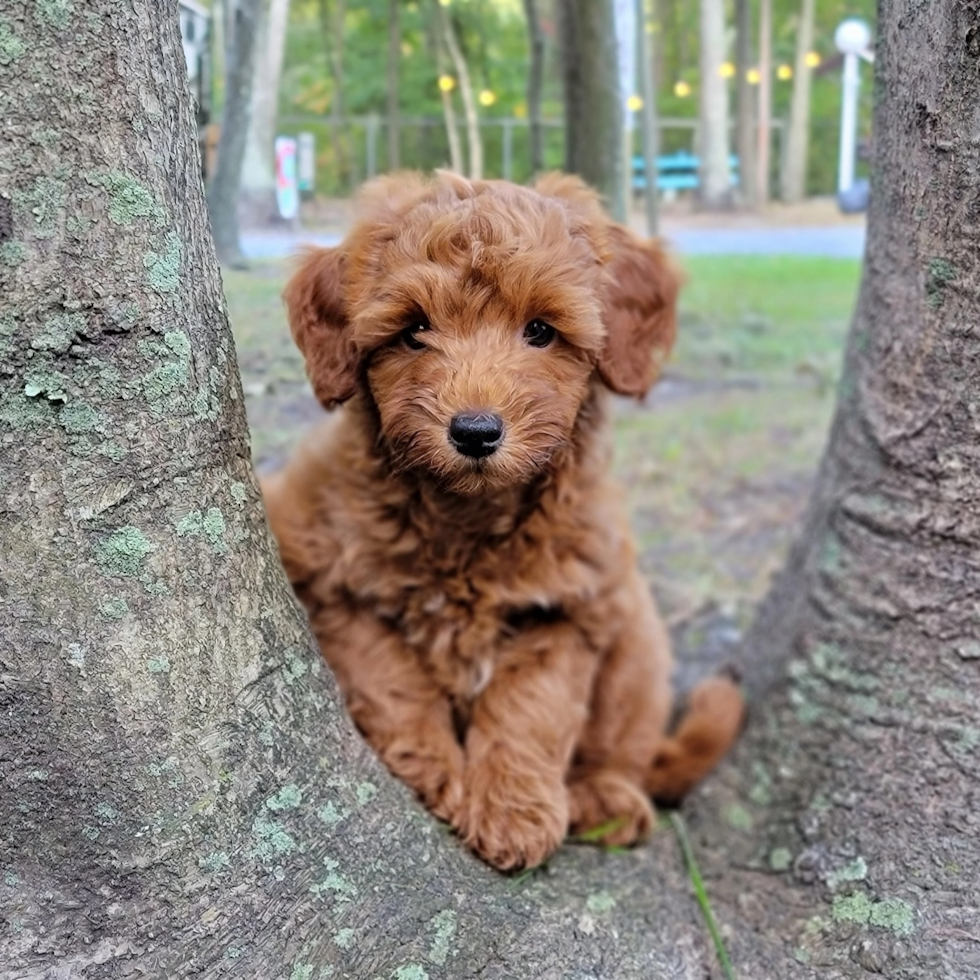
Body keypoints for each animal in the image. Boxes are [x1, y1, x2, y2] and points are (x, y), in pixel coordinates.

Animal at [260, 172, 744, 868]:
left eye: (540, 330)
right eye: (414, 330)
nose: (475, 432)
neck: (467, 517)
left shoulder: (572, 606)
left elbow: (531, 707)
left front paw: (512, 810)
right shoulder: (333, 581)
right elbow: (392, 681)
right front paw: (436, 773)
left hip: (638, 647)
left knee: (626, 745)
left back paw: (606, 797)